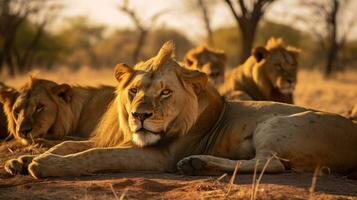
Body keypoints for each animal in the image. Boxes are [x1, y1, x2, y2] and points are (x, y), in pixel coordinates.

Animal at [4, 41, 356, 179]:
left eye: (165, 93)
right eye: (133, 91)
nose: (140, 116)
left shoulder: (159, 155)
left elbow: (95, 155)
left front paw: (44, 164)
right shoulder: (119, 137)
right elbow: (70, 143)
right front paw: (20, 160)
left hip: (274, 124)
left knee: (271, 164)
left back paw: (196, 163)